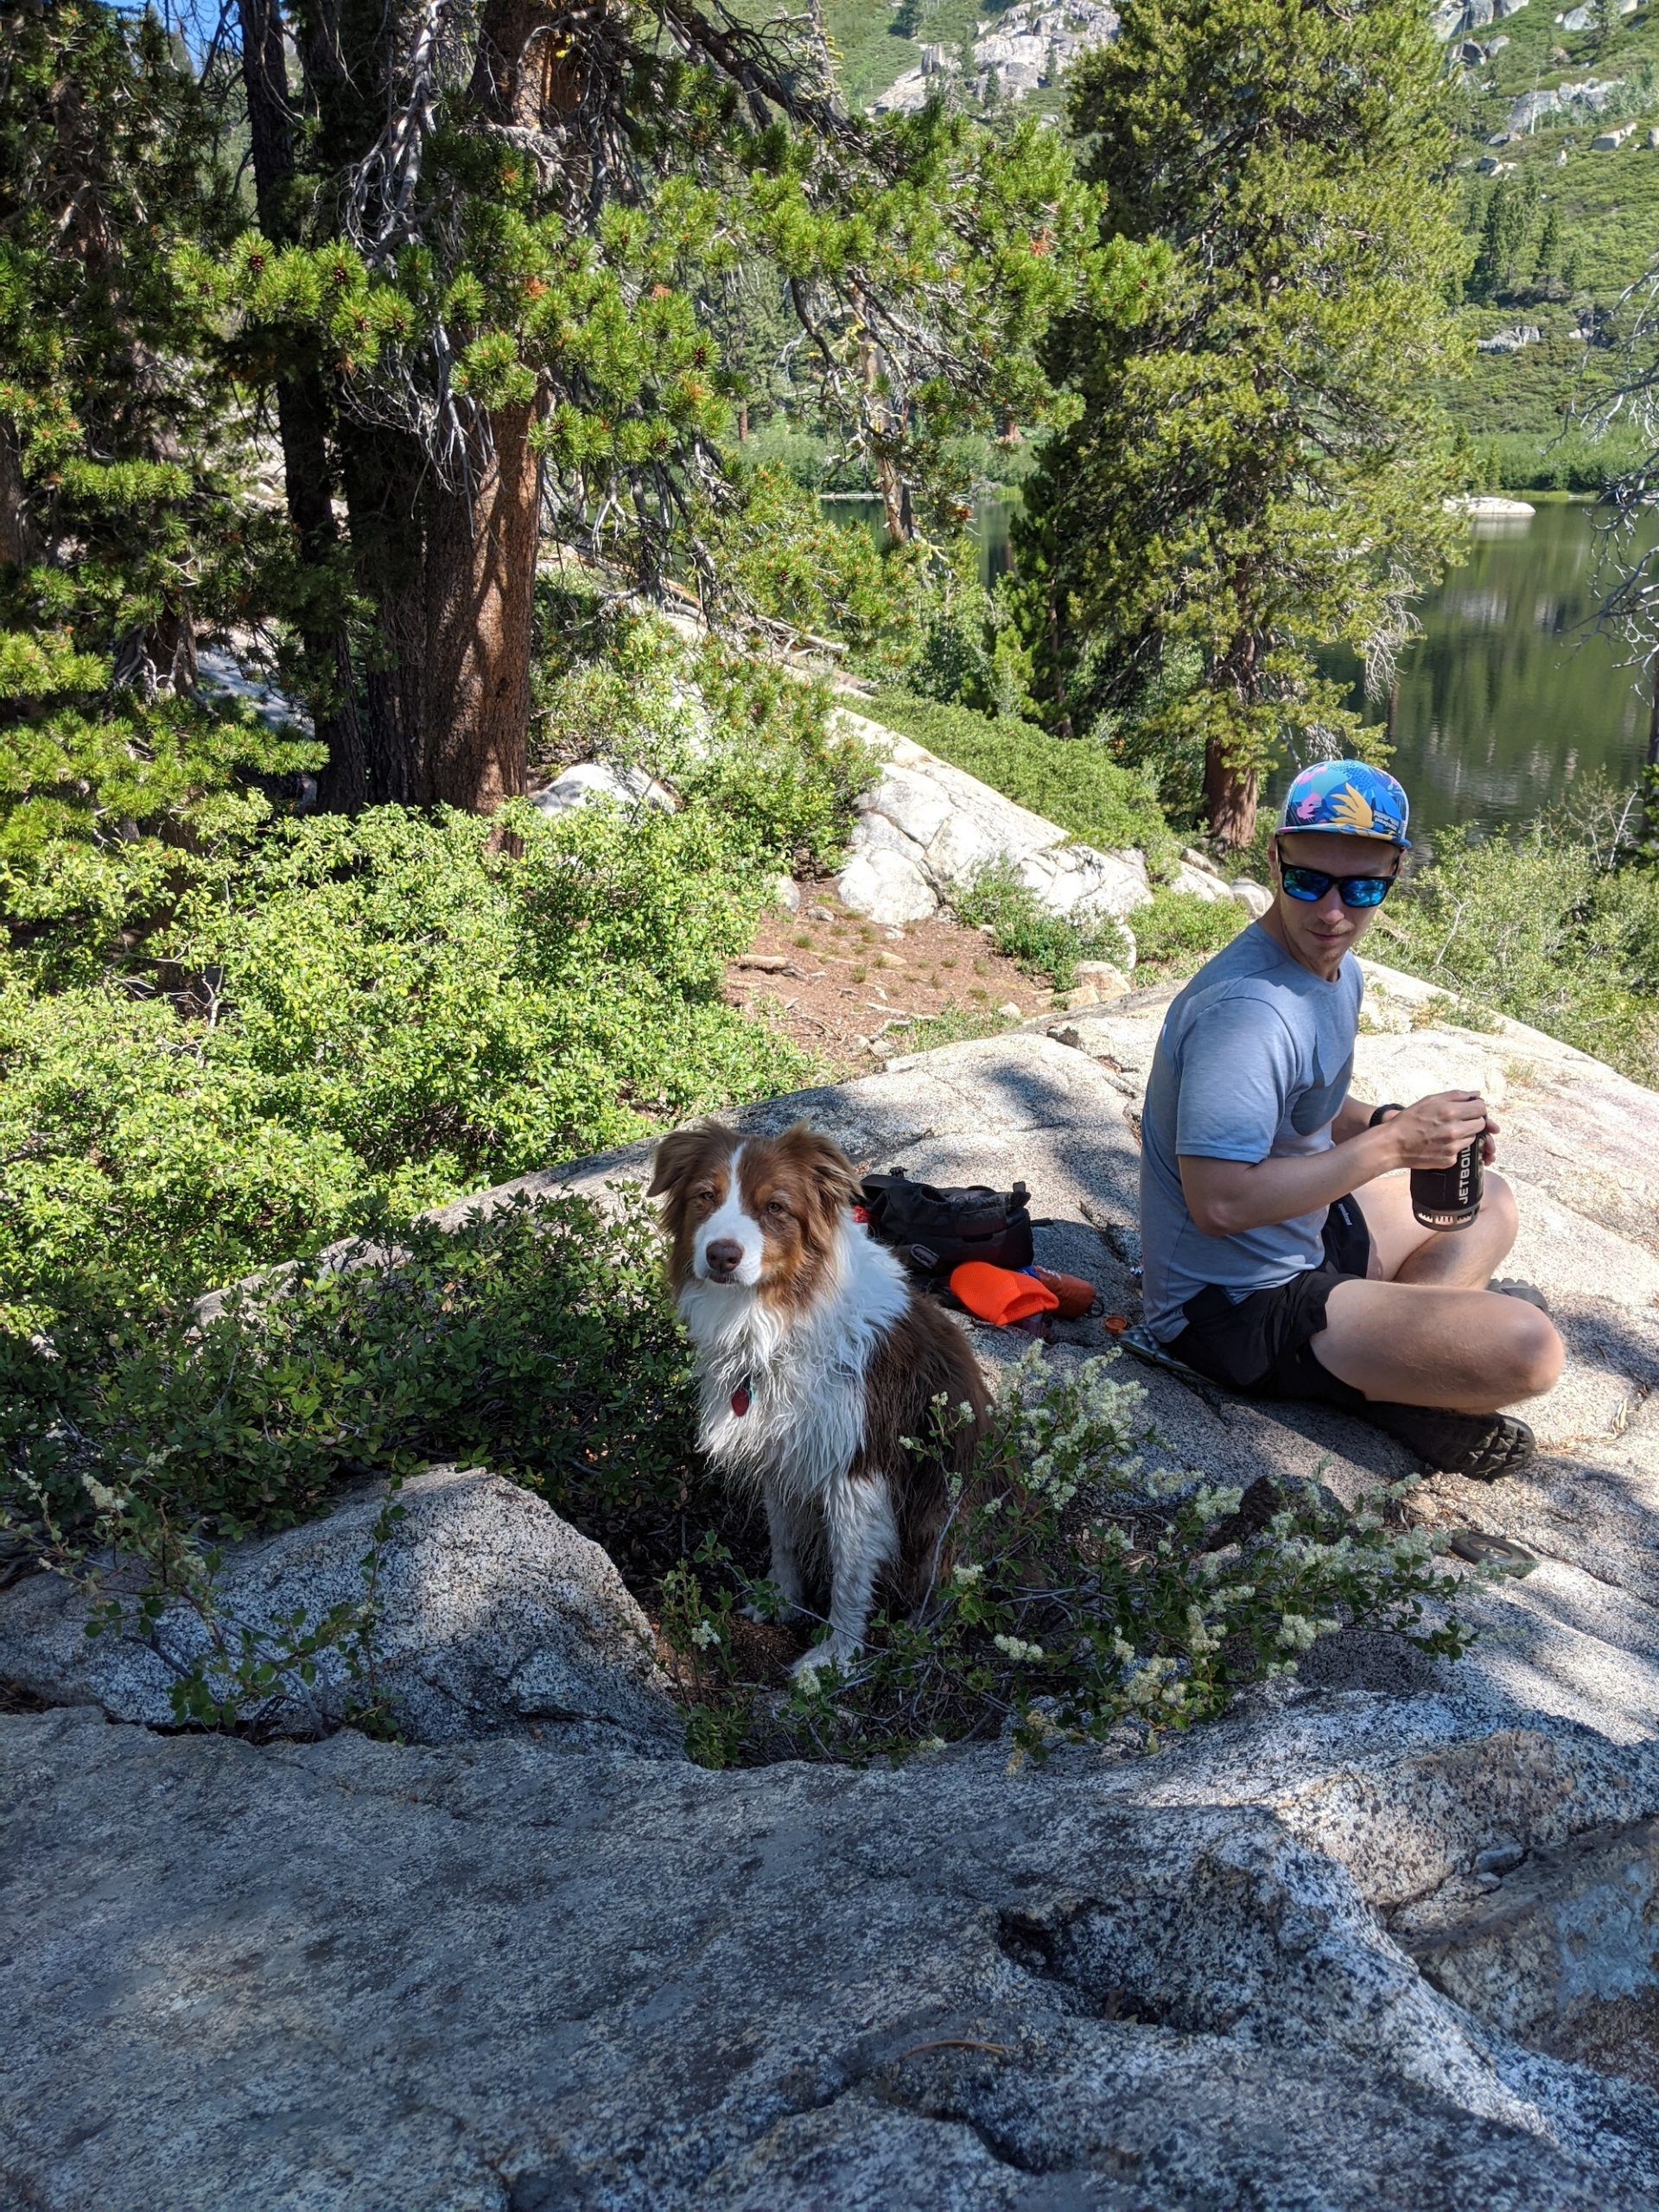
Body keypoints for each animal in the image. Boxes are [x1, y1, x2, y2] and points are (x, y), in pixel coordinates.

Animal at [645, 1123, 986, 1672]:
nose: (722, 1255)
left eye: (775, 1207)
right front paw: (781, 1602)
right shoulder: (780, 1450)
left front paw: (835, 1655)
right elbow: (783, 1538)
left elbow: (849, 1574)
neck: (773, 1319)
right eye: (705, 1197)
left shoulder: (856, 1469)